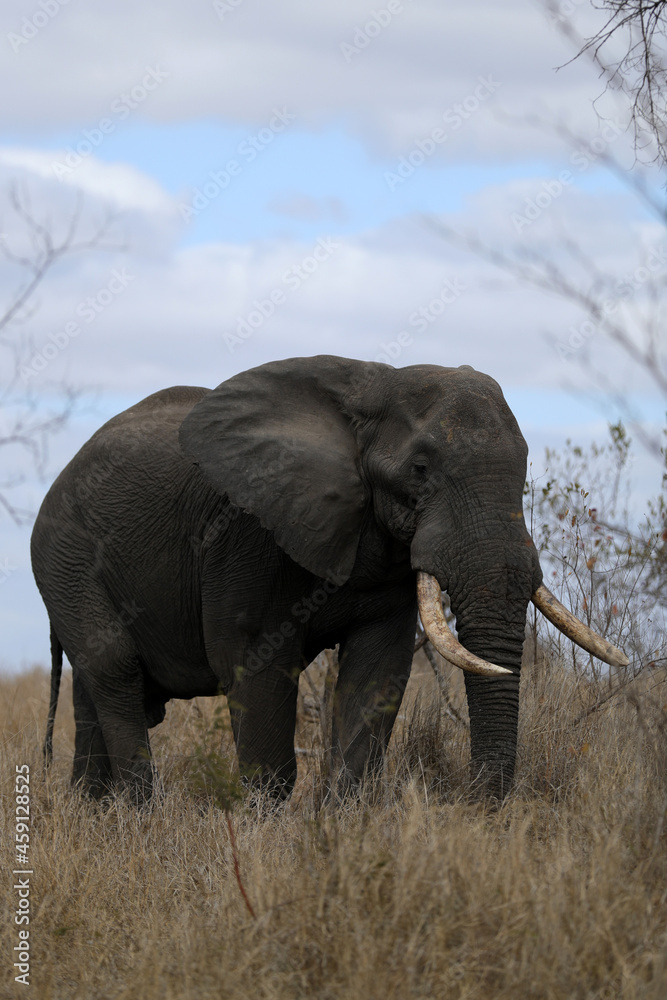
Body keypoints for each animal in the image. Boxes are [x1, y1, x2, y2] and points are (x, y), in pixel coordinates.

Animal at [31, 355, 627, 803]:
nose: (479, 810)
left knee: (96, 692)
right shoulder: (247, 532)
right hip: (64, 558)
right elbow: (256, 664)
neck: (372, 387)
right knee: (116, 671)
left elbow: (377, 670)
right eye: (420, 470)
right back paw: (139, 817)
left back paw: (95, 818)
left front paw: (341, 828)